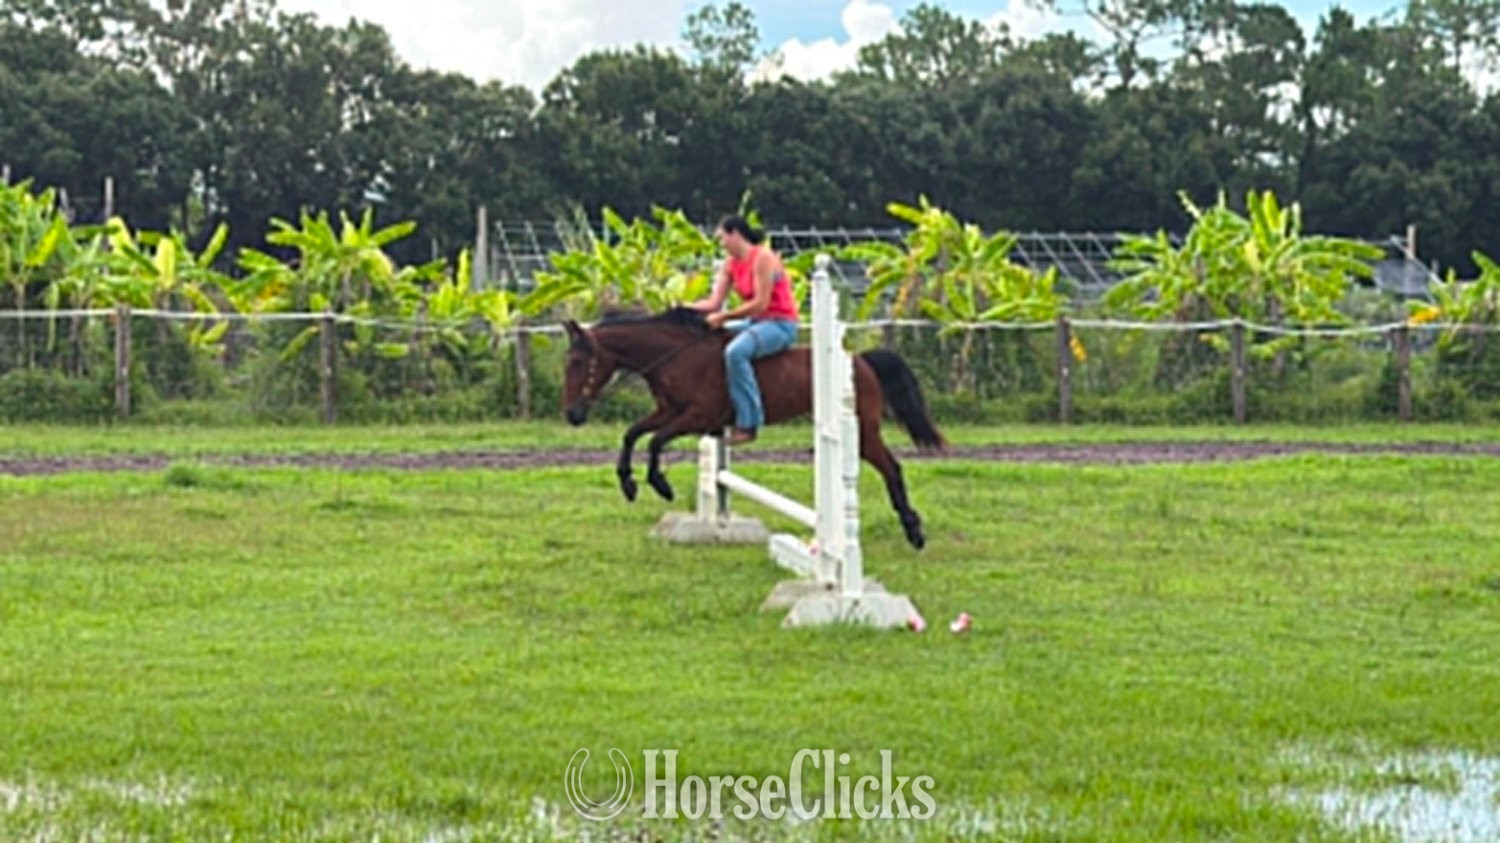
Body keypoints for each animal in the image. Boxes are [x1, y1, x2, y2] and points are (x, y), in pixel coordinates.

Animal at [560, 307, 947, 549]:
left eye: (578, 361)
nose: (572, 415)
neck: (677, 356)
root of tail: (860, 360)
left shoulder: (697, 417)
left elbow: (655, 441)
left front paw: (661, 485)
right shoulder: (668, 411)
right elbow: (632, 434)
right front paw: (628, 484)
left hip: (864, 433)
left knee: (892, 468)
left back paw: (914, 531)